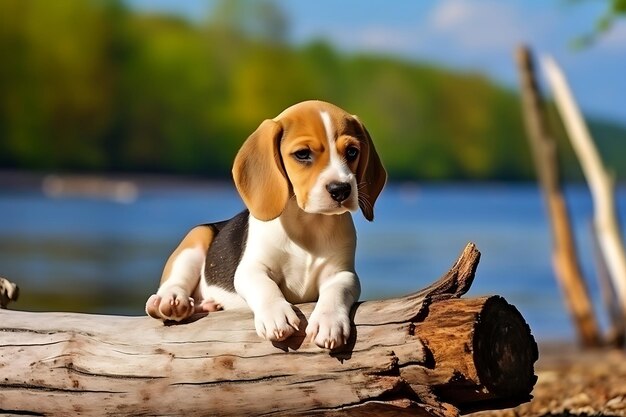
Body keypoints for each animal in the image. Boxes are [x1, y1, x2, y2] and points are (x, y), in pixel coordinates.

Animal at [146, 100, 386, 348]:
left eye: (352, 151)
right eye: (302, 154)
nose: (341, 189)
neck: (308, 224)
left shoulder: (342, 273)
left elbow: (336, 292)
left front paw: (328, 322)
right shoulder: (251, 268)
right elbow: (265, 285)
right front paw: (276, 315)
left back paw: (209, 304)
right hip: (196, 238)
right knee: (175, 281)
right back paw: (170, 301)